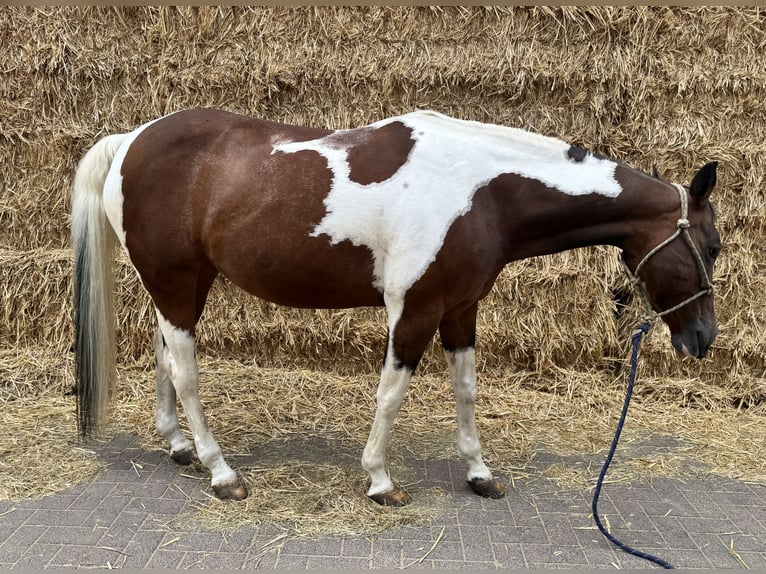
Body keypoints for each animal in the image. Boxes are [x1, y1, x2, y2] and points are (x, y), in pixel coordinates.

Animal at [72, 109, 720, 506]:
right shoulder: (414, 310)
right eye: (712, 246)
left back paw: (180, 447)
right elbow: (391, 393)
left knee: (165, 357)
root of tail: (130, 140)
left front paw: (480, 474)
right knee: (185, 370)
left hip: (185, 285)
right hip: (175, 283)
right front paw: (380, 481)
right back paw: (221, 471)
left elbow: (465, 391)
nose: (703, 338)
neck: (484, 190)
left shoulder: (460, 310)